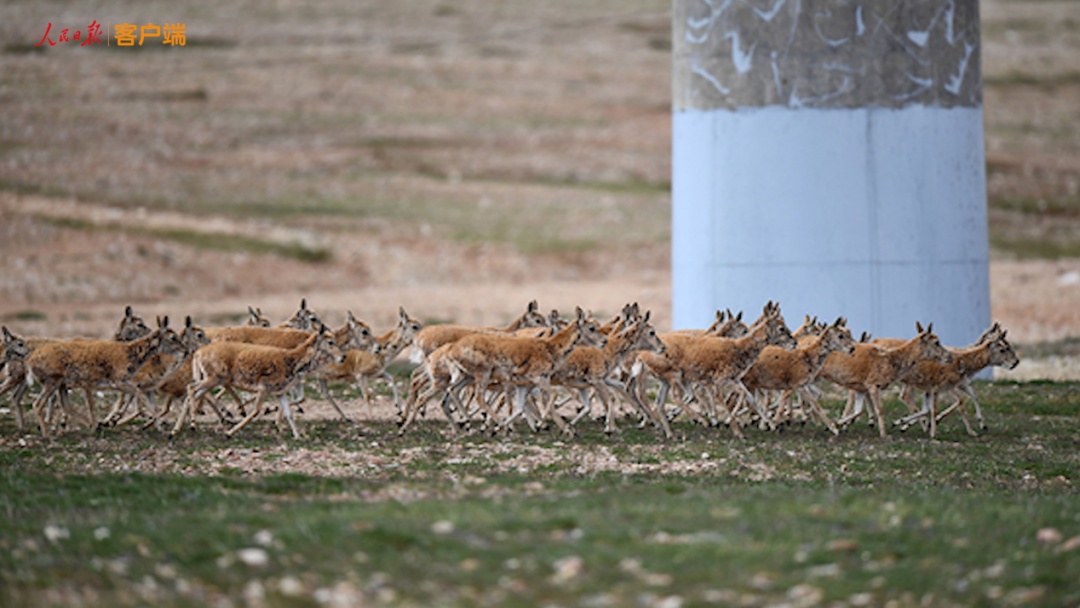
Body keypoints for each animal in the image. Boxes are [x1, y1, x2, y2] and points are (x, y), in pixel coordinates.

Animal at [816, 323, 954, 438]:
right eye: (936, 342)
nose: (949, 356)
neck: (891, 361)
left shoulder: (861, 386)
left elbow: (858, 411)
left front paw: (835, 424)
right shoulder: (873, 384)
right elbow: (880, 410)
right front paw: (884, 434)